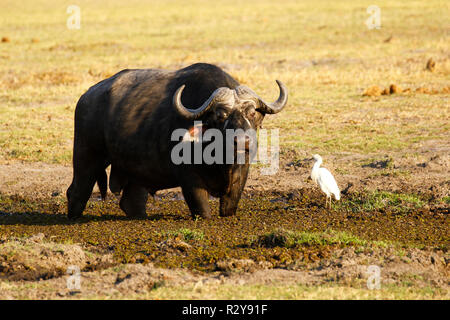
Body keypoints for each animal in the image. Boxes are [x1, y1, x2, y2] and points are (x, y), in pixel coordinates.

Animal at [67, 62, 286, 220]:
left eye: (251, 112)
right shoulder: (188, 177)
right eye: (220, 115)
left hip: (135, 170)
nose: (242, 141)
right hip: (86, 156)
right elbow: (202, 209)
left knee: (131, 201)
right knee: (76, 191)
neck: (221, 160)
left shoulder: (241, 173)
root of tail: (86, 97)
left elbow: (229, 206)